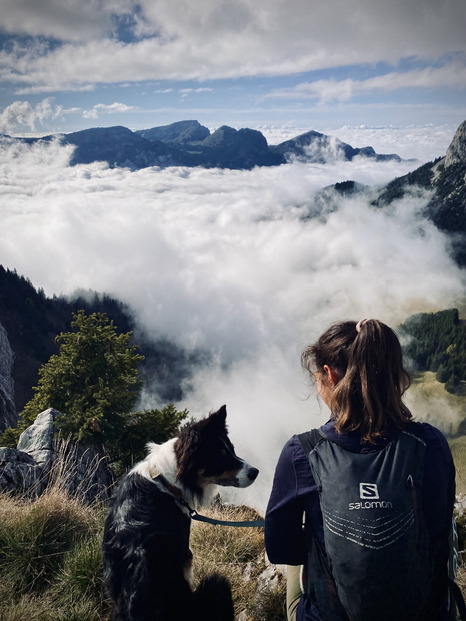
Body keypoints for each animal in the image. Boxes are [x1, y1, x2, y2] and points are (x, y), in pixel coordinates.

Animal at [102, 404, 260, 620]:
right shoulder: (186, 555)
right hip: (217, 583)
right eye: (219, 456)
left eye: (232, 449)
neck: (166, 483)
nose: (255, 472)